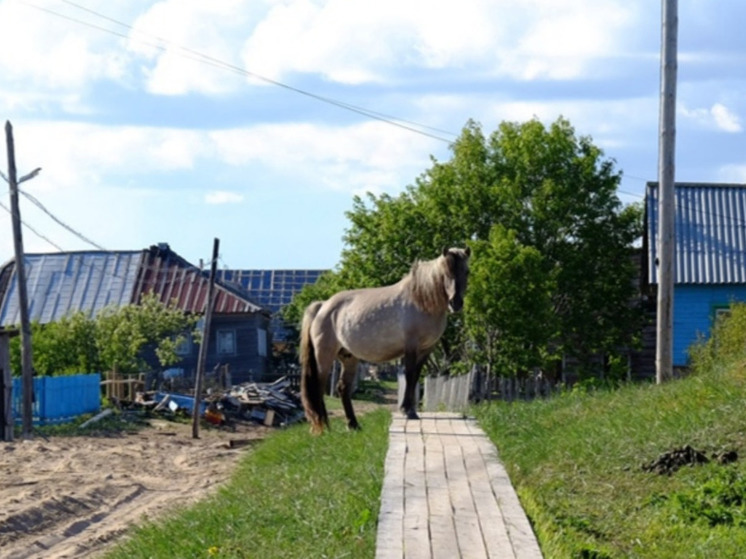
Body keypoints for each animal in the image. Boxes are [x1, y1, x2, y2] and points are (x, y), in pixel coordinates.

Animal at [300, 247, 468, 436]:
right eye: (446, 273)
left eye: (467, 272)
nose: (456, 303)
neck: (421, 299)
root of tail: (323, 306)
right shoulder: (411, 347)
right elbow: (409, 375)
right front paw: (407, 410)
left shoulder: (426, 350)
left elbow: (416, 377)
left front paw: (411, 410)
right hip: (324, 355)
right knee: (318, 387)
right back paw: (324, 426)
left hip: (348, 357)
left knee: (343, 387)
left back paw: (353, 424)